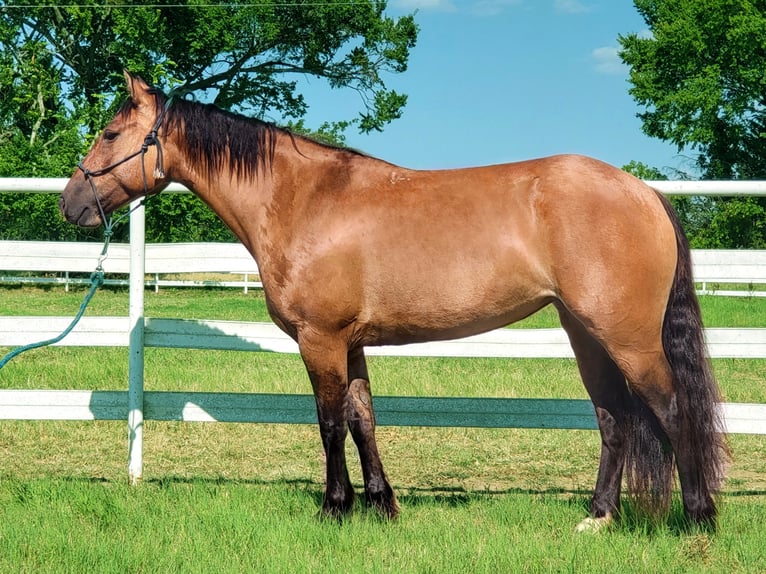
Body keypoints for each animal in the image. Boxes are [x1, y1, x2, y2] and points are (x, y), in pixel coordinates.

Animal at [61, 71, 732, 532]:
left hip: (627, 337)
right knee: (614, 418)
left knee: (672, 410)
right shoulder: (350, 343)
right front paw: (382, 505)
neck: (303, 198)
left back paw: (697, 516)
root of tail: (642, 191)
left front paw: (334, 508)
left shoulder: (321, 339)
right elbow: (364, 419)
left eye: (110, 133)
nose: (72, 204)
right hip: (585, 333)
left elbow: (330, 422)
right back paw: (597, 517)